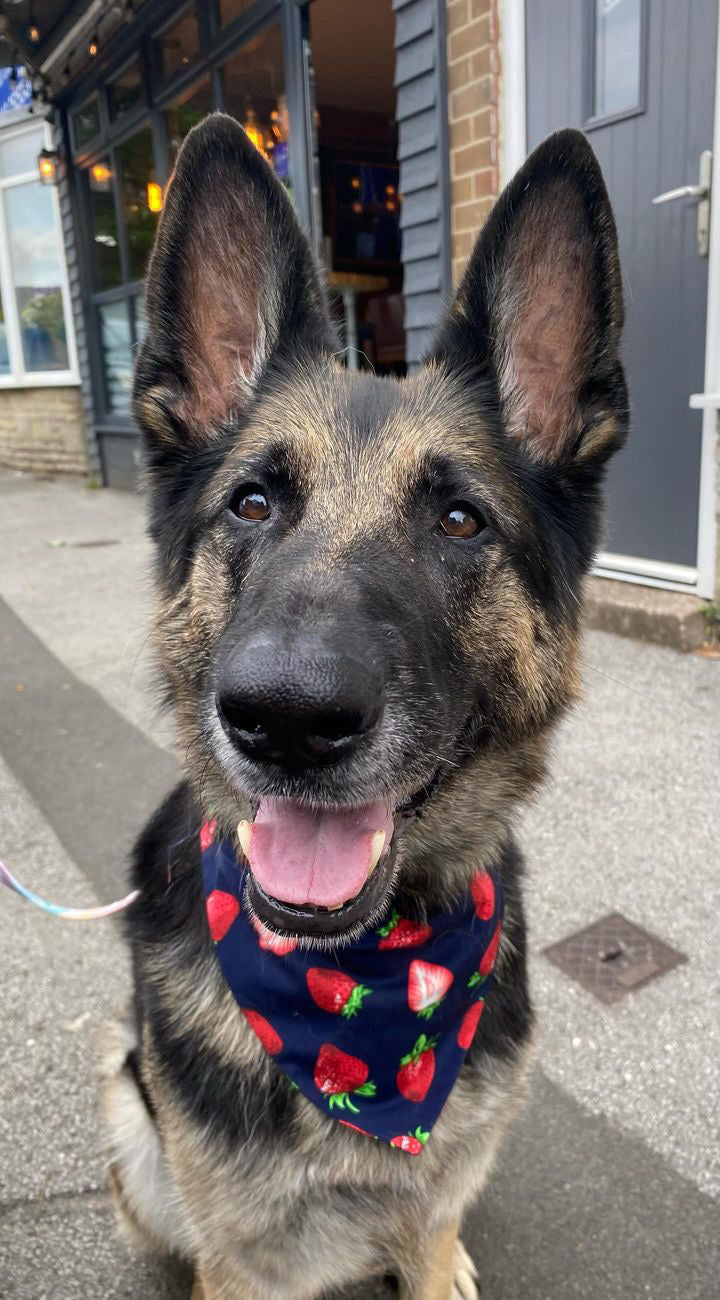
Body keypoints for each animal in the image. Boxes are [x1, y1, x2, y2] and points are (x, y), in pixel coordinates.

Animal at [100, 114, 621, 1300]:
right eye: (252, 503)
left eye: (461, 521)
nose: (285, 719)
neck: (364, 997)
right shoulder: (244, 1263)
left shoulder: (428, 1207)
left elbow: (430, 1230)